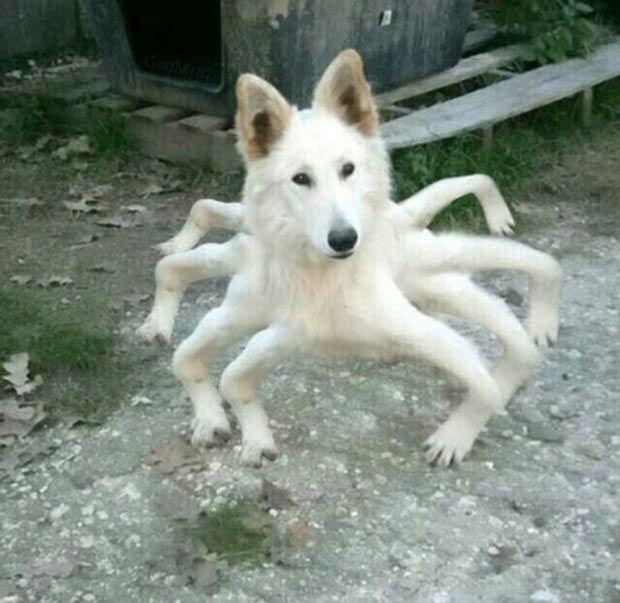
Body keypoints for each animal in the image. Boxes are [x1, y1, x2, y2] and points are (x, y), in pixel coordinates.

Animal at [137, 49, 560, 470]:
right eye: (301, 179)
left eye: (348, 169)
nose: (344, 239)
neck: (316, 275)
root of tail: (397, 215)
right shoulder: (253, 323)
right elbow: (197, 365)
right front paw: (226, 425)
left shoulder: (387, 328)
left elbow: (486, 392)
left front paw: (453, 437)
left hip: (433, 271)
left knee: (529, 288)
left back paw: (535, 326)